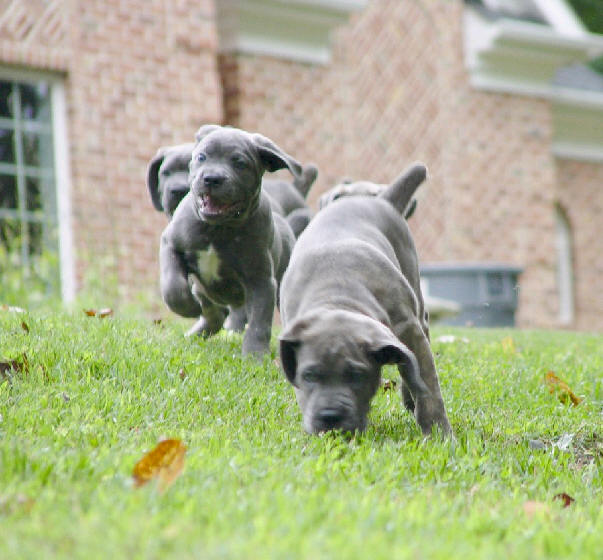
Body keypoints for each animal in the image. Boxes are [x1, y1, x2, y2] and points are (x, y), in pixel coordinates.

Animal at [160, 125, 304, 356]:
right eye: (201, 157)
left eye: (240, 163)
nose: (211, 178)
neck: (217, 229)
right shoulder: (171, 244)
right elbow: (172, 285)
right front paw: (187, 307)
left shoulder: (262, 282)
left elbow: (259, 323)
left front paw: (254, 356)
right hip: (202, 289)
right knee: (213, 314)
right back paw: (194, 334)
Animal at [280, 164, 450, 436]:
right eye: (309, 376)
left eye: (357, 375)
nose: (330, 418)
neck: (337, 295)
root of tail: (382, 200)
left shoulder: (408, 328)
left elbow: (426, 383)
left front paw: (438, 432)